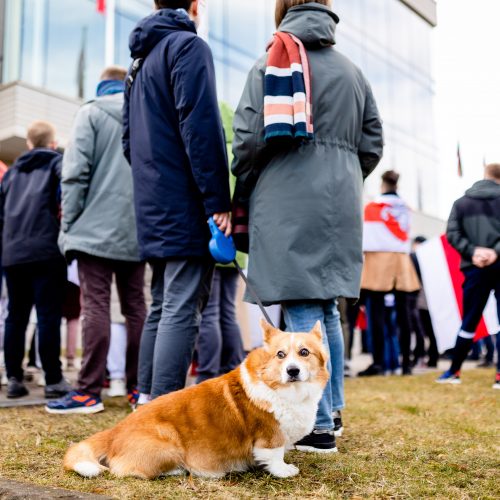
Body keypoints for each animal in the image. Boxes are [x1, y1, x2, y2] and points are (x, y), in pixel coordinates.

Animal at [64, 320, 330, 480]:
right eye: (280, 355)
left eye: (304, 352)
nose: (292, 371)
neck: (287, 390)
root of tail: (114, 432)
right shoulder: (269, 436)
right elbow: (274, 456)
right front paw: (285, 470)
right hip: (168, 444)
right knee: (127, 470)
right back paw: (179, 470)